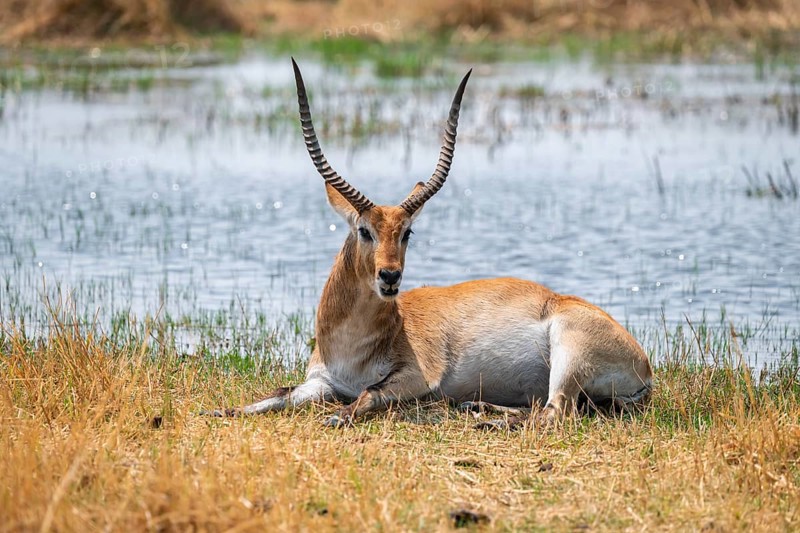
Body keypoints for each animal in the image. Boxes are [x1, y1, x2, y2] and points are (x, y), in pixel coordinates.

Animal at [206, 59, 653, 429]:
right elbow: (278, 394)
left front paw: (338, 417)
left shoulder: (418, 377)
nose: (390, 277)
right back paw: (479, 408)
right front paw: (222, 410)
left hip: (567, 354)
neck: (357, 343)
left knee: (556, 412)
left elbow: (369, 394)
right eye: (364, 230)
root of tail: (645, 367)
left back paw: (490, 422)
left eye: (407, 232)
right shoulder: (319, 381)